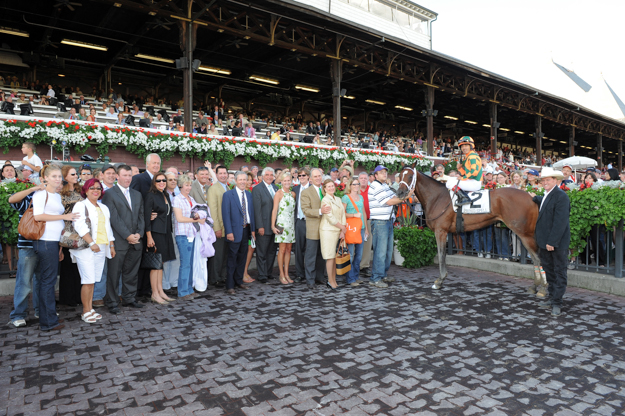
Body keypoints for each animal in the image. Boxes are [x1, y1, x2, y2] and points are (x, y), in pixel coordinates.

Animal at [394, 162, 544, 296]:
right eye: (400, 175)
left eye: (410, 176)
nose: (400, 192)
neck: (437, 197)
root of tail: (531, 197)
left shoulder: (440, 231)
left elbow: (442, 255)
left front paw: (439, 281)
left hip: (524, 233)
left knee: (537, 257)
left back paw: (541, 287)